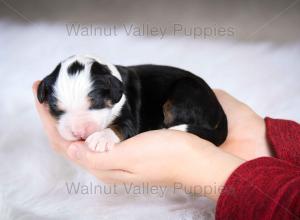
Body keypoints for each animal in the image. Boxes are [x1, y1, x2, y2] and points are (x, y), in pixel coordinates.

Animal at [38, 54, 229, 151]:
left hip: (184, 94)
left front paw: (100, 138)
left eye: (95, 104)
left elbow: (121, 126)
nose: (78, 133)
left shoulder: (129, 113)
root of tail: (220, 110)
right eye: (56, 109)